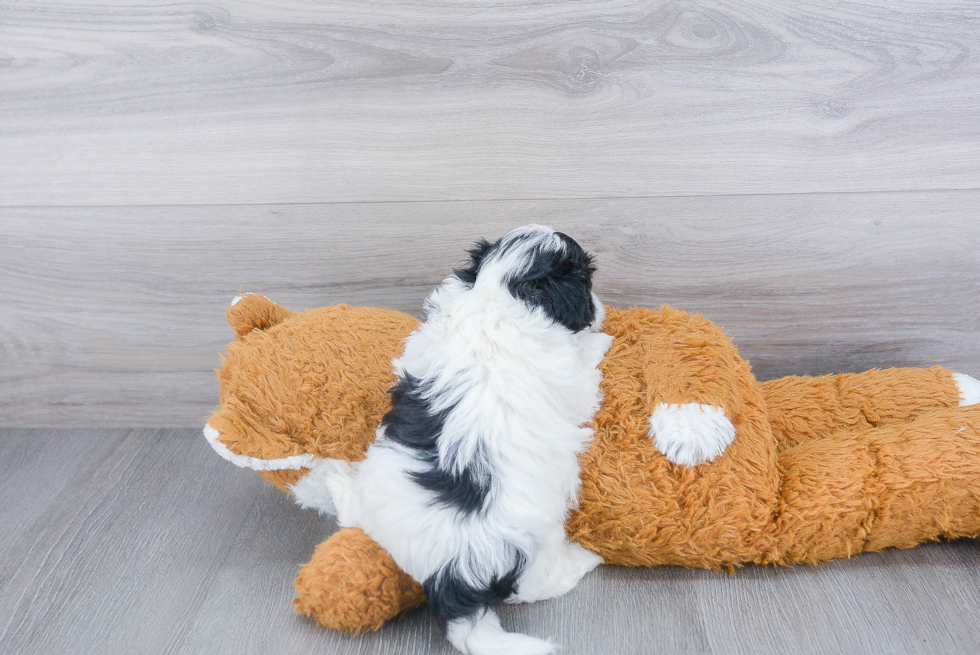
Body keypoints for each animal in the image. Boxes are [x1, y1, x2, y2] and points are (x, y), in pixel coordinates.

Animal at [352, 227, 612, 655]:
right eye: (586, 281)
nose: (601, 309)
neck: (500, 294)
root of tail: (451, 577)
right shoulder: (572, 378)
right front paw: (601, 341)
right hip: (536, 540)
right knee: (533, 585)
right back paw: (583, 559)